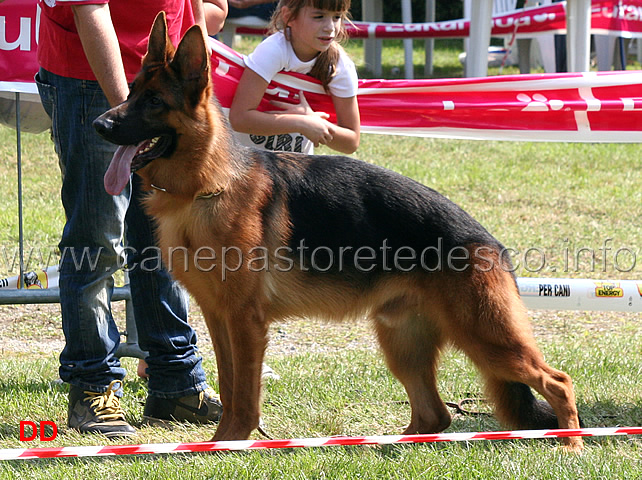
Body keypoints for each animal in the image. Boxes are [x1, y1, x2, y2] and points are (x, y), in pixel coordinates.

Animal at [94, 14, 580, 450]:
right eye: (131, 93)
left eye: (154, 102)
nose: (99, 125)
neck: (205, 185)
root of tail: (490, 242)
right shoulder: (219, 318)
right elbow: (230, 386)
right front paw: (218, 443)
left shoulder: (245, 322)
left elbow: (244, 395)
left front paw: (230, 443)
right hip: (402, 343)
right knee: (435, 415)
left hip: (485, 337)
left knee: (557, 381)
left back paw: (570, 445)